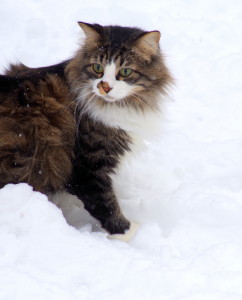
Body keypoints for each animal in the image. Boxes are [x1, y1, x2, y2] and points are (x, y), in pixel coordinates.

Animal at [0, 21, 172, 237]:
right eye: (97, 68)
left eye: (125, 72)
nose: (105, 87)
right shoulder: (88, 166)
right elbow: (106, 205)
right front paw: (132, 233)